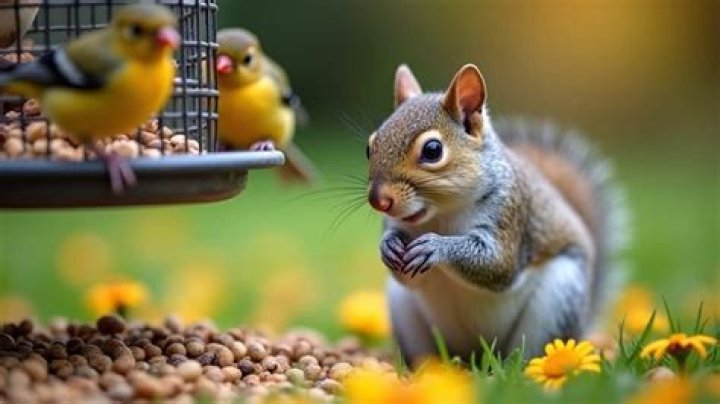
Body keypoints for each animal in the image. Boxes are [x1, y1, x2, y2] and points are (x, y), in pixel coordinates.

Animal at [366, 64, 627, 366]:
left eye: (432, 150)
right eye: (369, 147)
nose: (379, 201)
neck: (442, 214)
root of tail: (476, 357)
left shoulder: (509, 213)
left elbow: (498, 264)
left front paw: (437, 246)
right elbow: (410, 278)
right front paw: (388, 245)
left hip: (559, 299)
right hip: (404, 310)